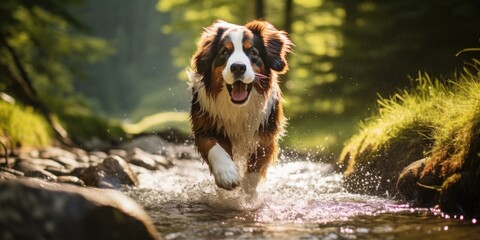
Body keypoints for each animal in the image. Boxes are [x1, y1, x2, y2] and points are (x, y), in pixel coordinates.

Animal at [188, 20, 292, 193]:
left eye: (252, 52)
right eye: (224, 52)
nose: (238, 67)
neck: (238, 108)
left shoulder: (266, 134)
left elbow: (256, 166)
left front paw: (247, 190)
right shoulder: (203, 127)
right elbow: (212, 145)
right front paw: (227, 174)